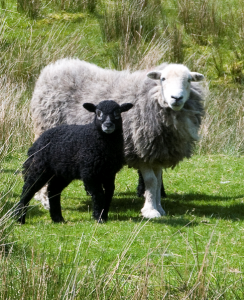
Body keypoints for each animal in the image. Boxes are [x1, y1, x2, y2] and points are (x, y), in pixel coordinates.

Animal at [31, 58, 205, 218]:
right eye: (163, 79)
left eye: (189, 80)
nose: (176, 98)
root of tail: (54, 67)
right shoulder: (140, 149)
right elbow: (151, 181)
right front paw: (150, 211)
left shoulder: (157, 151)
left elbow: (157, 181)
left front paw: (159, 208)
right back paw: (45, 200)